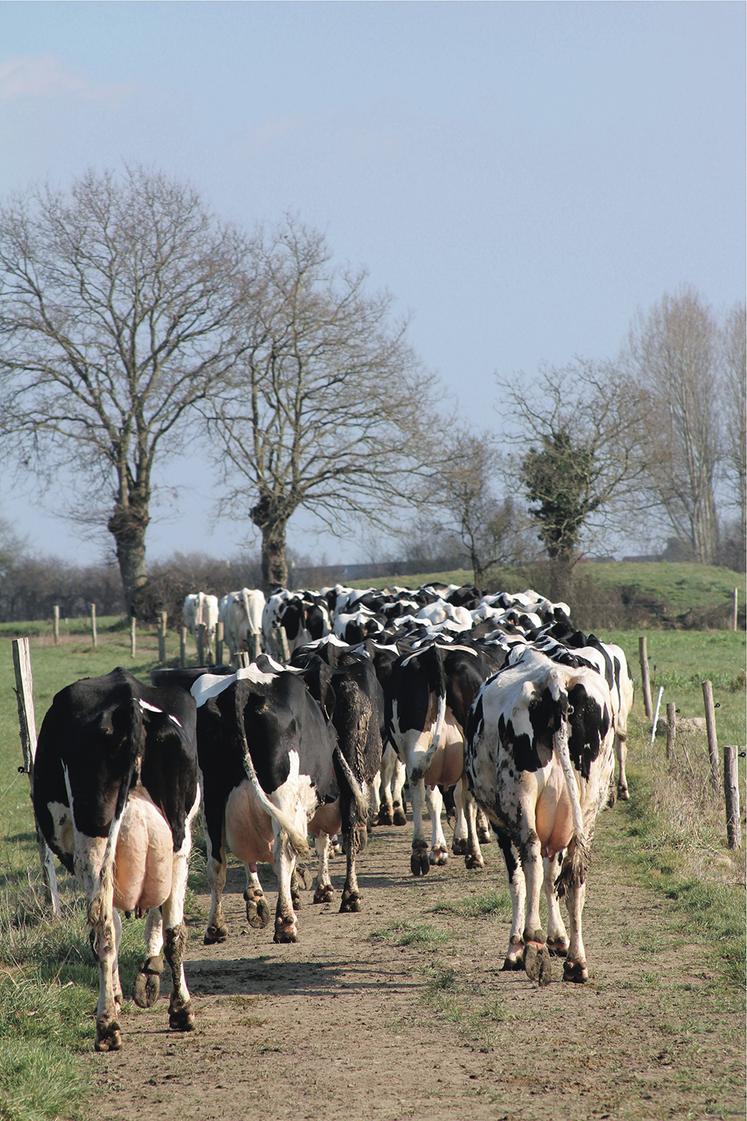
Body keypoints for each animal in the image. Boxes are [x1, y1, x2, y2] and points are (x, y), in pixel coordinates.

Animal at [33, 663, 199, 1049]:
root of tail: (130, 705)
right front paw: (144, 978)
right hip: (179, 836)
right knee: (174, 928)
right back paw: (179, 1010)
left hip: (93, 841)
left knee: (105, 929)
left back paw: (108, 1023)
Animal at [462, 645, 614, 986]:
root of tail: (554, 679)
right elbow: (553, 878)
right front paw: (558, 939)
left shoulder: (502, 827)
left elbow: (519, 880)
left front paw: (515, 949)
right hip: (587, 806)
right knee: (576, 877)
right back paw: (576, 962)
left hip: (520, 793)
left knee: (530, 855)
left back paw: (532, 941)